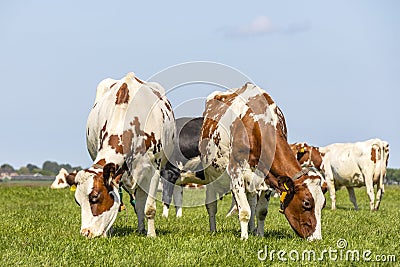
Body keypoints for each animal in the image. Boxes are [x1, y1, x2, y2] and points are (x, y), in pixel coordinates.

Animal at [73, 73, 175, 239]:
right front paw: (109, 232)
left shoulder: (154, 169)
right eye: (78, 202)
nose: (86, 233)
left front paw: (151, 234)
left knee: (140, 203)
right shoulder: (117, 173)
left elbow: (149, 207)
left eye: (95, 197)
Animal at [198, 83, 326, 241]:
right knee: (212, 205)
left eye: (323, 204)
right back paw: (213, 230)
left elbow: (261, 211)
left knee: (252, 202)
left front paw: (259, 235)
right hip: (210, 173)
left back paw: (252, 229)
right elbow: (244, 211)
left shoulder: (269, 177)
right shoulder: (235, 171)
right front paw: (244, 238)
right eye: (306, 203)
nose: (317, 239)